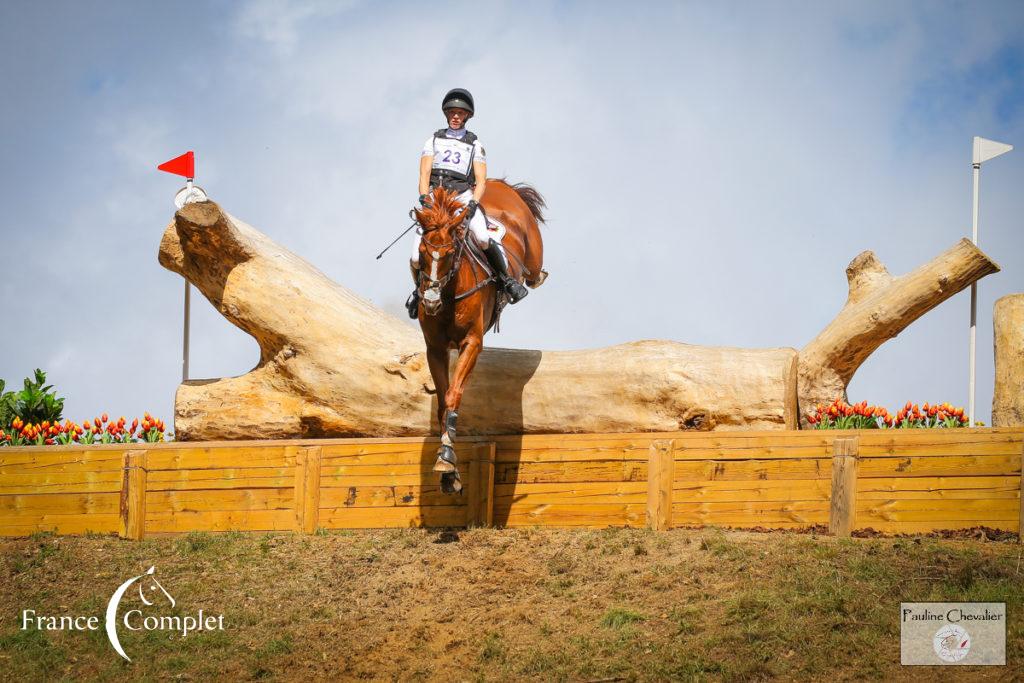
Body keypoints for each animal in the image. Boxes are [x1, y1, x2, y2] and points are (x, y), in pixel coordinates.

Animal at [411, 179, 548, 493]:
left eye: (451, 253)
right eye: (422, 254)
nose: (431, 302)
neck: (449, 295)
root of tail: (501, 184)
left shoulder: (472, 342)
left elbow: (453, 394)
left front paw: (446, 459)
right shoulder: (435, 349)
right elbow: (442, 403)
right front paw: (449, 471)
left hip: (533, 250)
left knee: (534, 272)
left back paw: (527, 282)